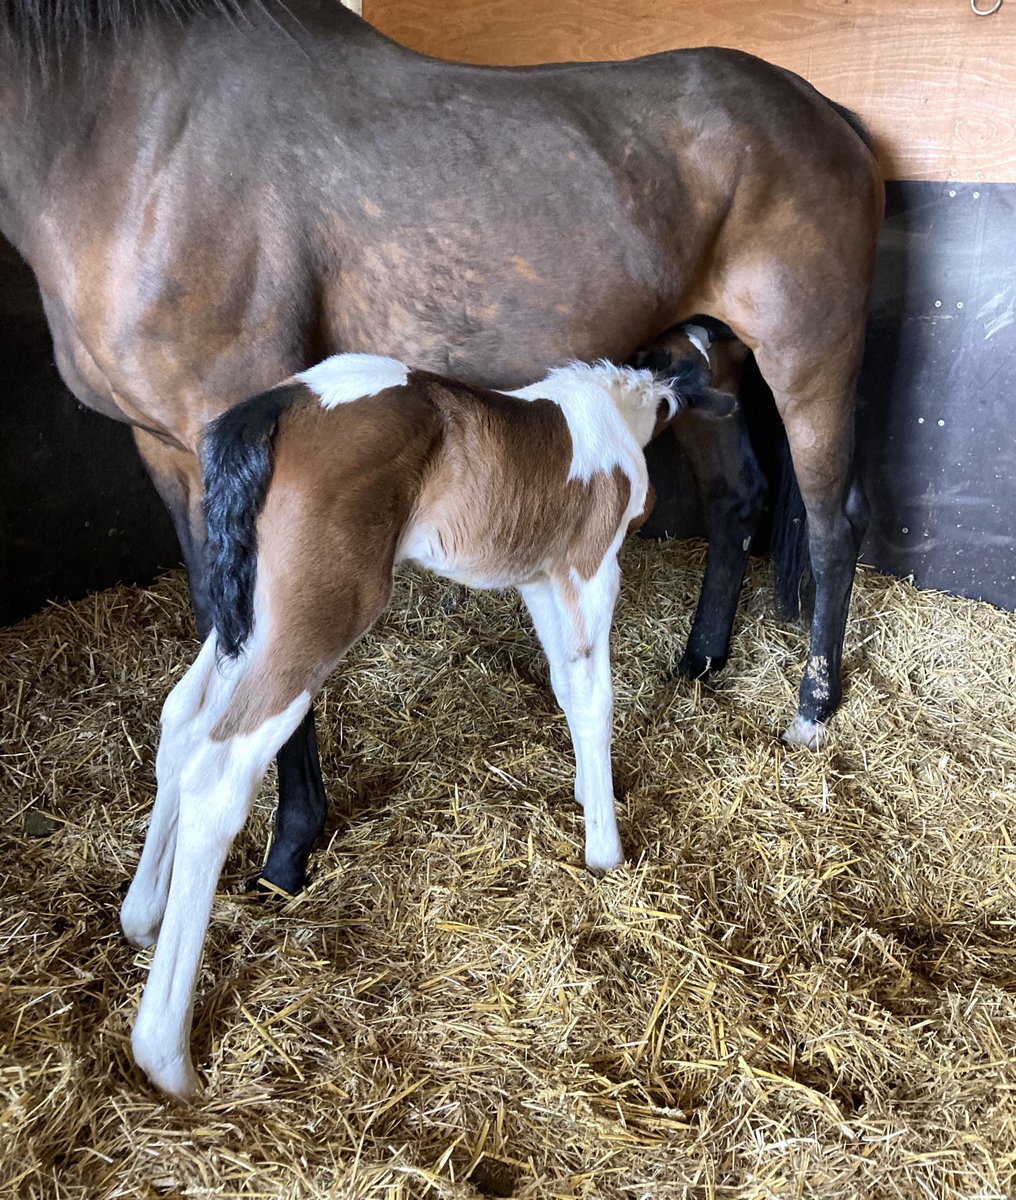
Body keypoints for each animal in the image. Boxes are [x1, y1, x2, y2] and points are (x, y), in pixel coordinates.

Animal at [0, 0, 883, 897]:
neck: (137, 136)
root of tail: (822, 108)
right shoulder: (173, 455)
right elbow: (225, 626)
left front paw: (289, 847)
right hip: (708, 366)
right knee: (739, 498)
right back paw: (700, 661)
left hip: (809, 360)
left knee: (834, 523)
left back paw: (811, 710)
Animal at [117, 353, 713, 1097]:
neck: (608, 414)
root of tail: (280, 404)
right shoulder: (589, 567)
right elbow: (594, 694)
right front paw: (605, 851)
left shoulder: (541, 577)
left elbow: (567, 687)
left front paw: (586, 799)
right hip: (318, 614)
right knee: (219, 772)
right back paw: (166, 1053)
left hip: (251, 616)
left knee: (181, 718)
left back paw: (141, 916)